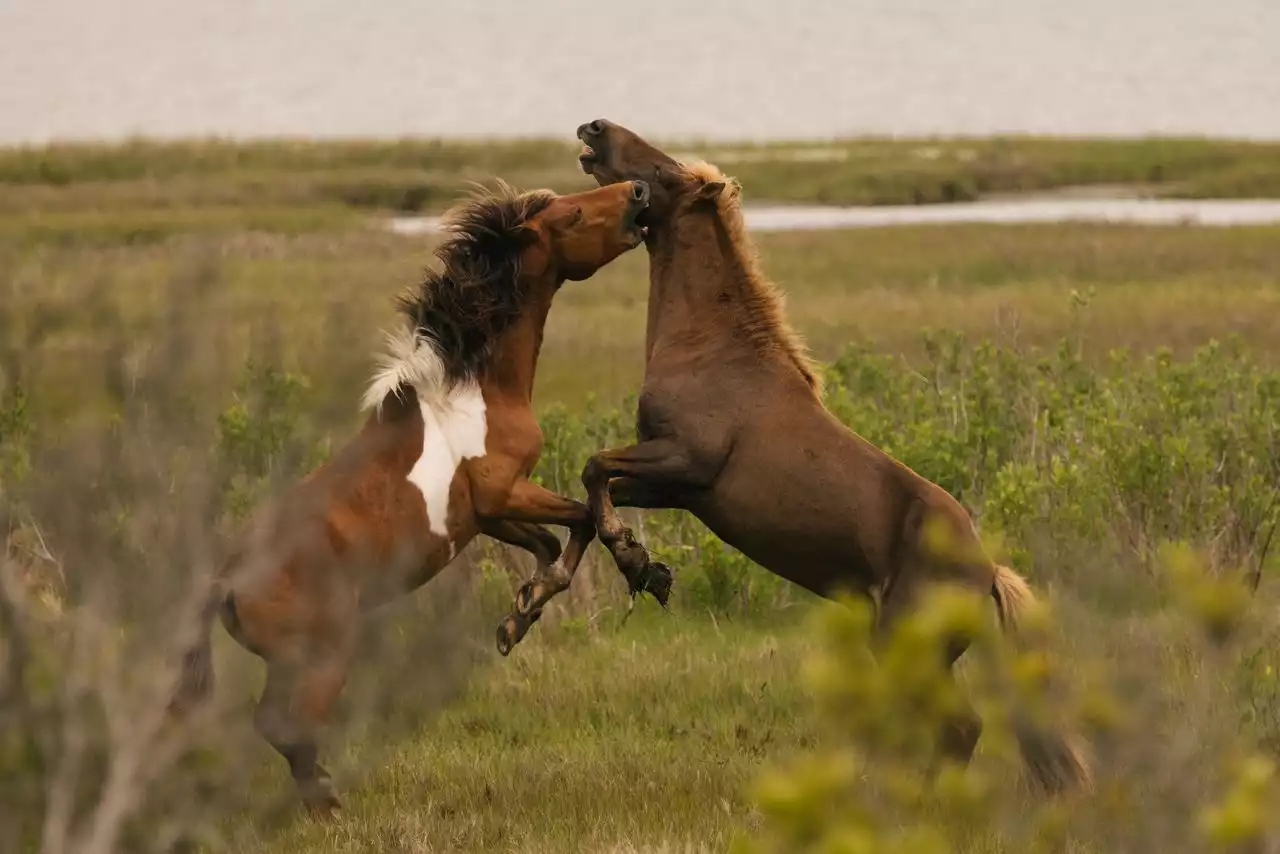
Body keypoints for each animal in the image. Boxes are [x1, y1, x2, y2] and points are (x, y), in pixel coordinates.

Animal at [167, 176, 650, 814]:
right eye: (571, 215)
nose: (639, 192)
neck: (474, 391)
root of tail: (224, 581)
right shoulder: (504, 491)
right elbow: (584, 520)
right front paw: (630, 565)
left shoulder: (484, 515)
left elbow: (551, 543)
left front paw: (519, 617)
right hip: (321, 656)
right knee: (283, 724)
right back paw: (328, 803)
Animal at [496, 120, 1090, 793]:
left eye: (667, 173)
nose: (595, 130)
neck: (714, 353)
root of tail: (986, 573)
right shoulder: (675, 486)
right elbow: (591, 504)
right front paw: (537, 606)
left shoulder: (685, 461)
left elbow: (595, 471)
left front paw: (636, 565)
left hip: (906, 644)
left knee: (958, 728)